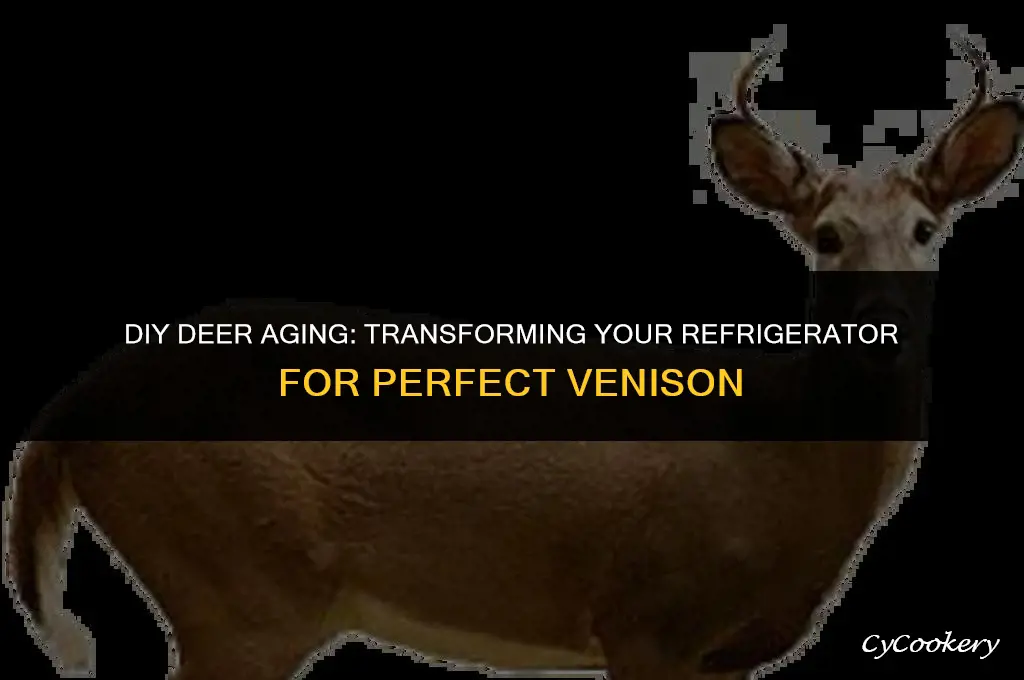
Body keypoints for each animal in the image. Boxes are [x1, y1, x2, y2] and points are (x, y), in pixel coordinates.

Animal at [4, 39, 1021, 680]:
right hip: (240, 584)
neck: (777, 466)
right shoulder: (649, 615)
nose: (884, 321)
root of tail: (67, 409)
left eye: (925, 230)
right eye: (827, 236)